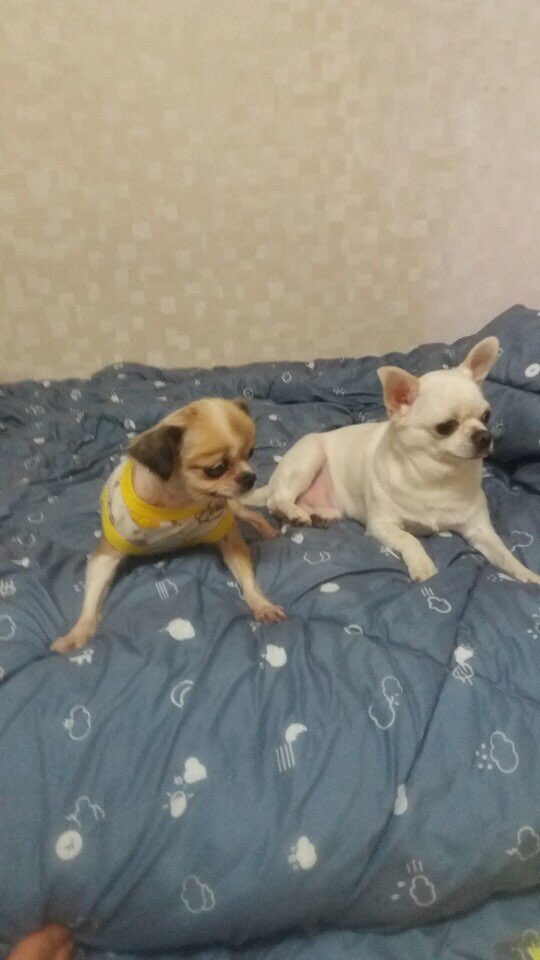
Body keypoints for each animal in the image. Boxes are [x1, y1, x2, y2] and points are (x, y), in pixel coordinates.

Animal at [52, 398, 285, 653]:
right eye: (216, 468)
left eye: (251, 453)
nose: (249, 477)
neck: (180, 500)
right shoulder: (106, 556)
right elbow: (91, 601)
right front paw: (78, 632)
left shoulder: (227, 536)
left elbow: (249, 581)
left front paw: (262, 604)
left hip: (234, 506)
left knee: (253, 515)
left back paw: (268, 531)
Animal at [243, 336, 540, 585]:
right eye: (446, 426)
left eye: (487, 416)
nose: (484, 436)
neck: (437, 476)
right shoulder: (382, 526)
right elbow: (409, 539)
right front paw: (423, 565)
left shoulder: (480, 530)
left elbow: (504, 553)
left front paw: (527, 576)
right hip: (309, 457)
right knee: (276, 500)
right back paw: (294, 512)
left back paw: (314, 516)